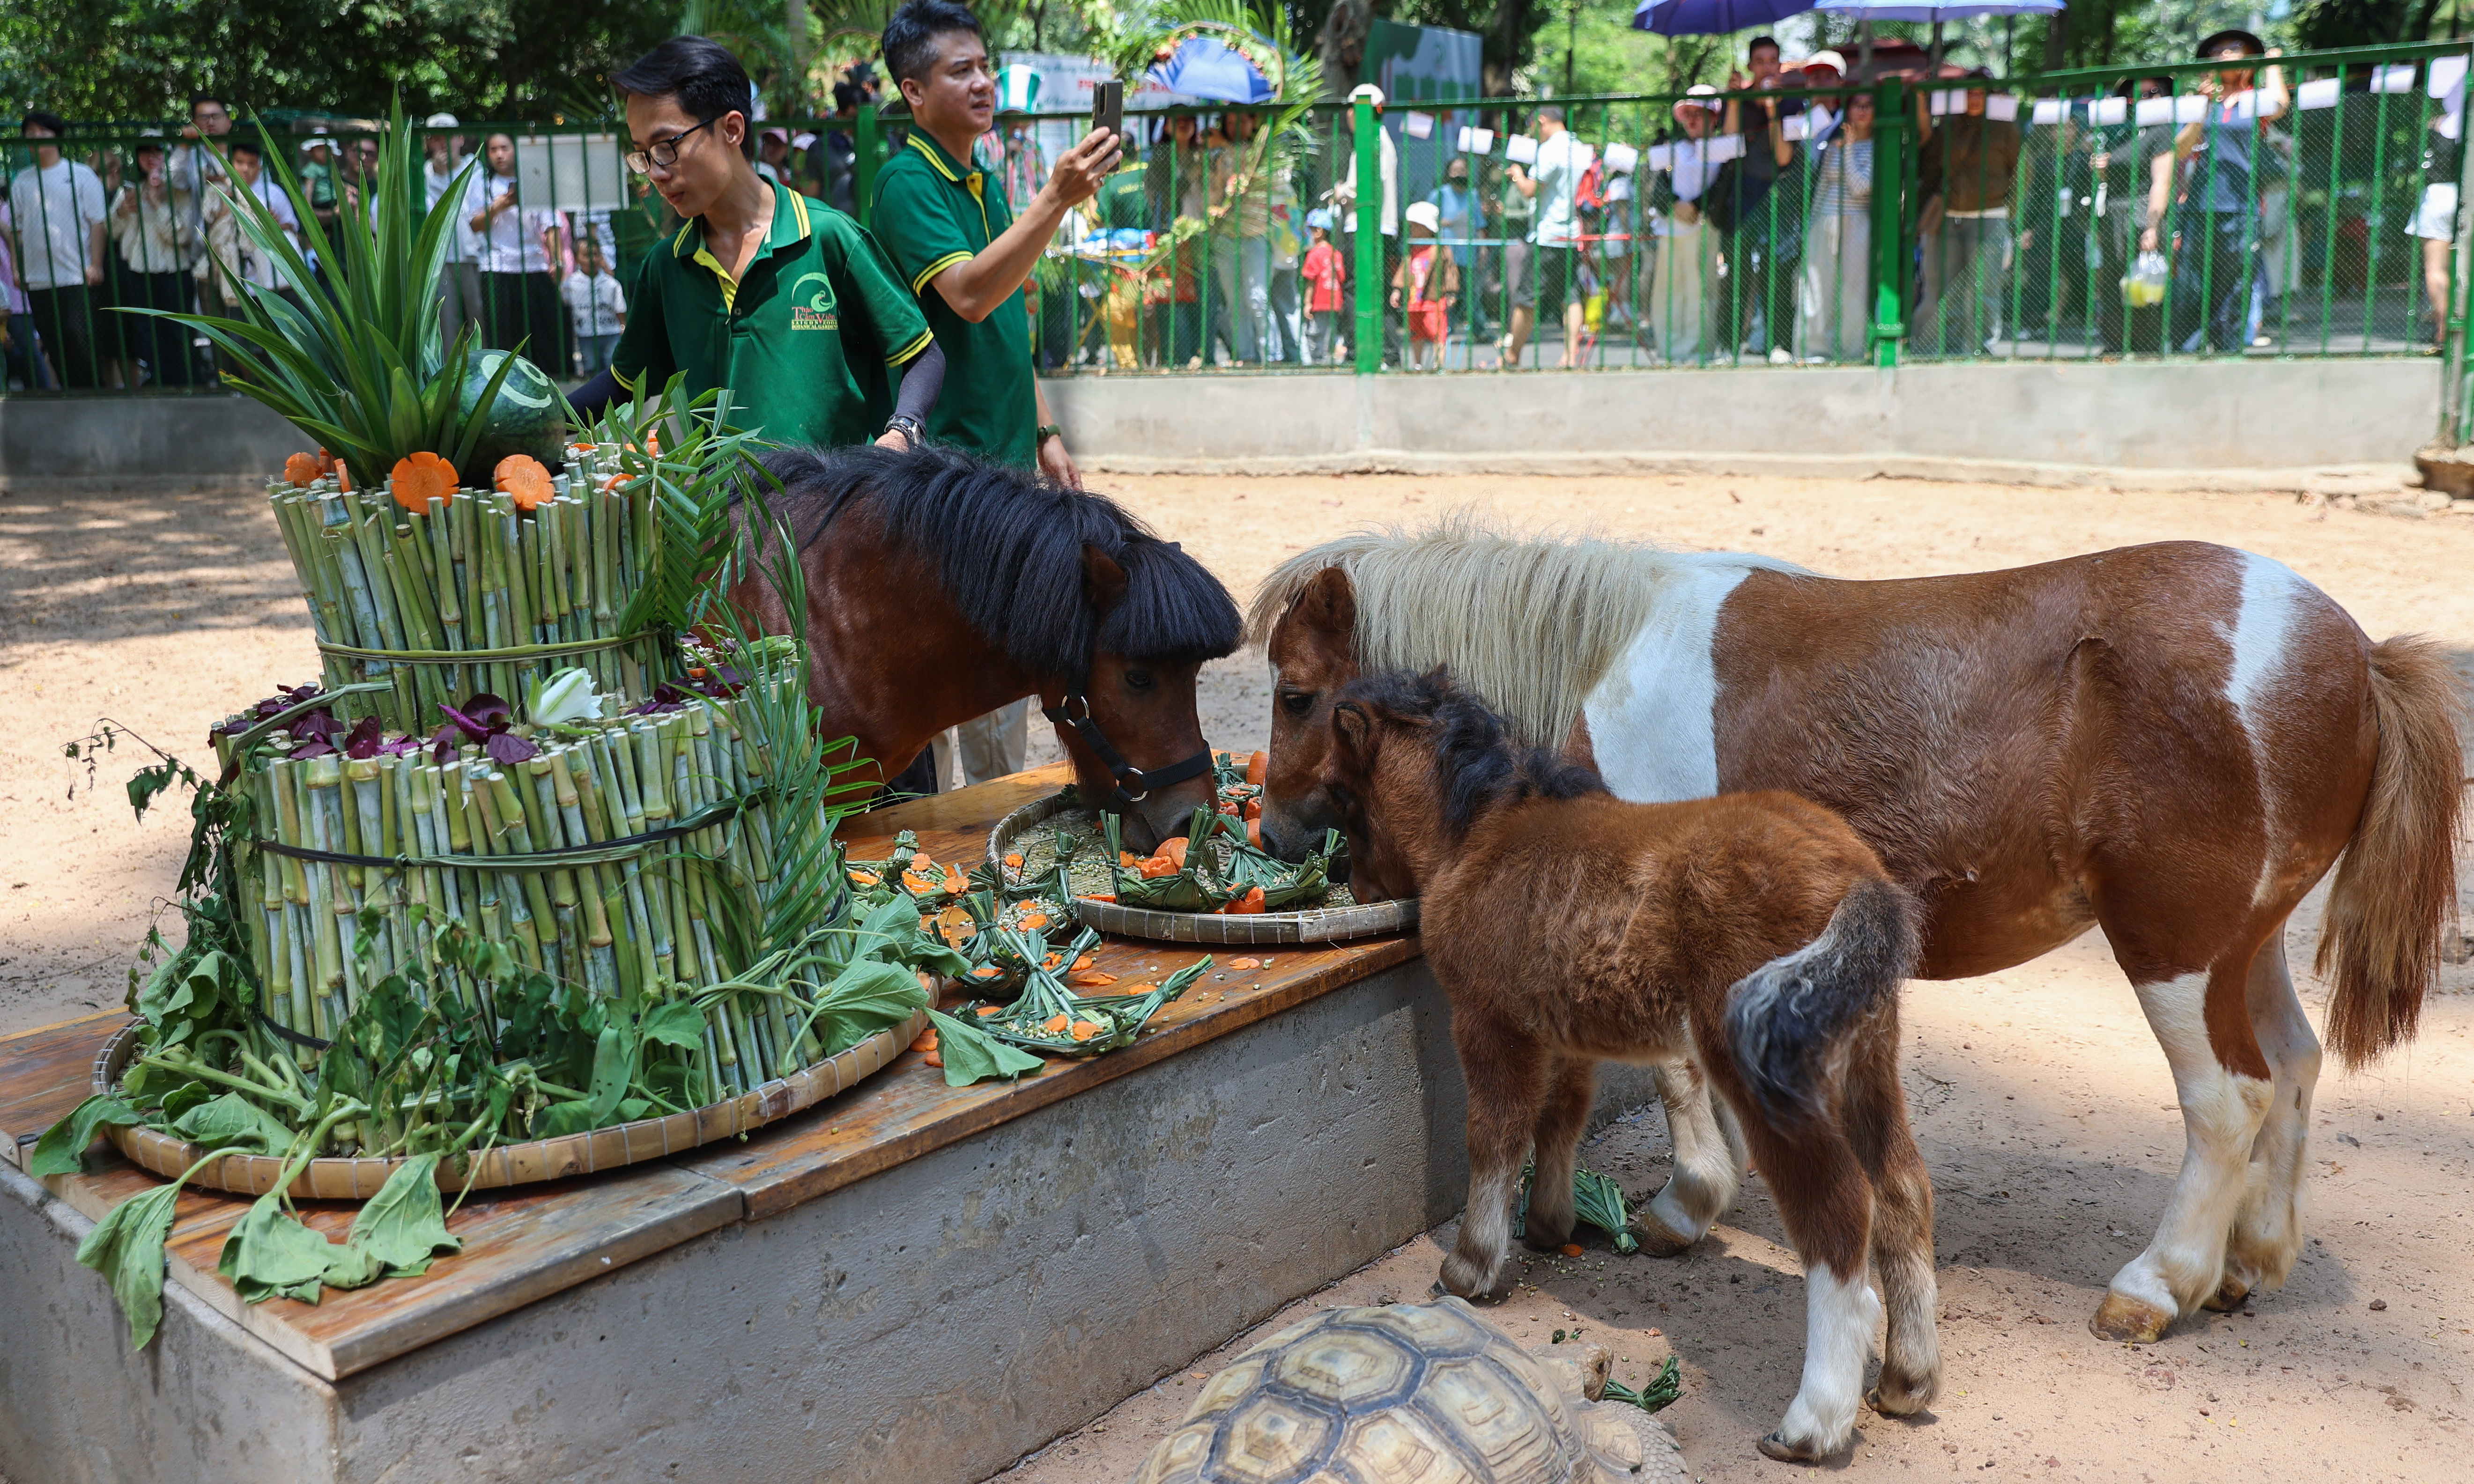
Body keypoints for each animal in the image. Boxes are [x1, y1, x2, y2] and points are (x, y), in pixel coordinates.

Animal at [1252, 522, 2464, 1345]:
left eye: (1297, 692)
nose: (1271, 829)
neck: (1608, 660)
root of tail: (2354, 657)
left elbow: (1673, 1074)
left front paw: (1685, 1204)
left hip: (2168, 944)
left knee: (2227, 1101)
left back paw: (2155, 1284)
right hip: (2240, 944)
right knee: (2294, 1065)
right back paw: (2250, 1260)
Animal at [1321, 667, 1934, 1463]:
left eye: (1338, 791)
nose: (1358, 889)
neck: (1481, 835)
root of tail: (1857, 876)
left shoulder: (1487, 1020)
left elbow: (1494, 1136)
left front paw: (1470, 1267)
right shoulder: (1559, 1030)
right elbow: (1560, 1118)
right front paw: (1548, 1225)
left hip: (1763, 1067)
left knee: (1836, 1215)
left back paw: (1811, 1423)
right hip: (1867, 1058)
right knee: (1902, 1190)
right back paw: (1907, 1379)